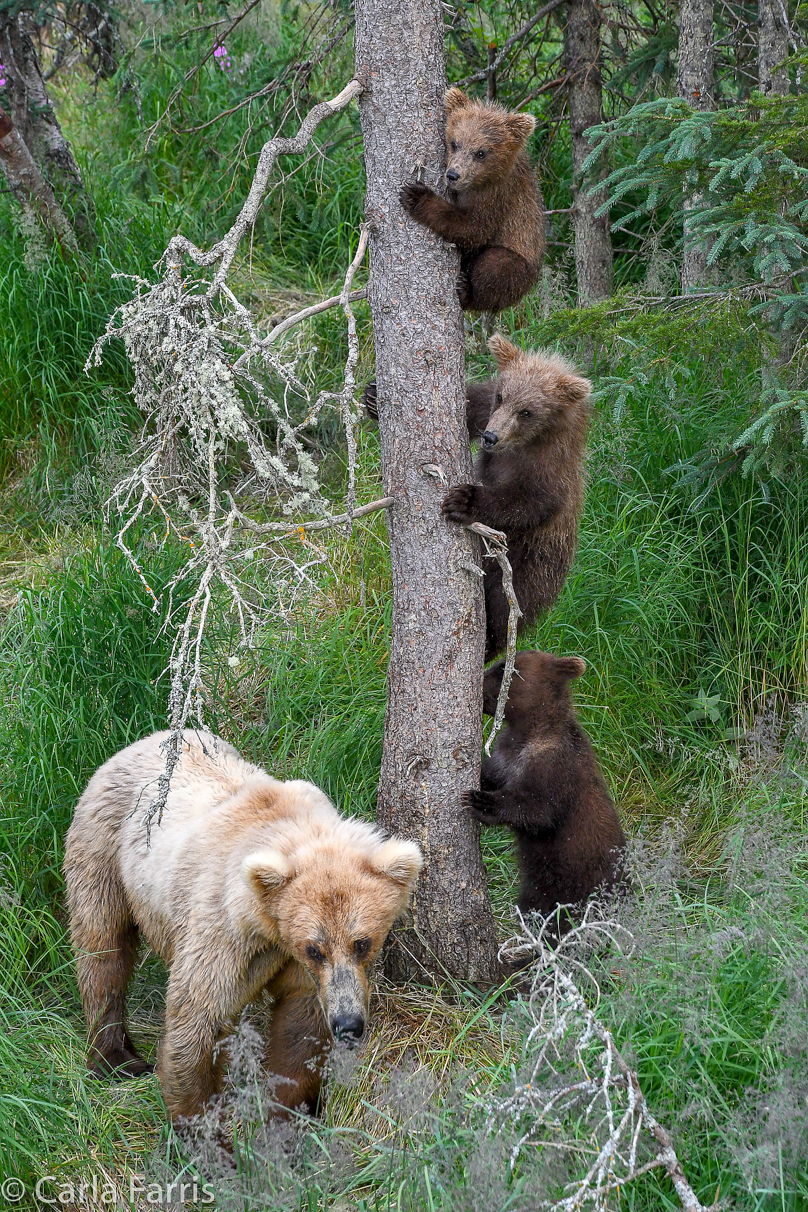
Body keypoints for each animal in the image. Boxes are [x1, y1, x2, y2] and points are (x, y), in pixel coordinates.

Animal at [63, 722, 423, 1119]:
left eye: (362, 943)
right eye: (314, 949)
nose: (348, 1025)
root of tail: (144, 740)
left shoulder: (294, 965)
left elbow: (299, 1027)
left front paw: (289, 1111)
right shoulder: (225, 933)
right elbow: (197, 1018)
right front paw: (198, 1121)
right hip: (104, 848)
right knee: (103, 948)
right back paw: (116, 1059)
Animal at [397, 88, 542, 312]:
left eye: (480, 152)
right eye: (455, 143)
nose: (453, 175)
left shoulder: (497, 197)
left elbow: (473, 228)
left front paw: (416, 196)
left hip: (521, 261)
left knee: (496, 267)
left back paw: (466, 291)